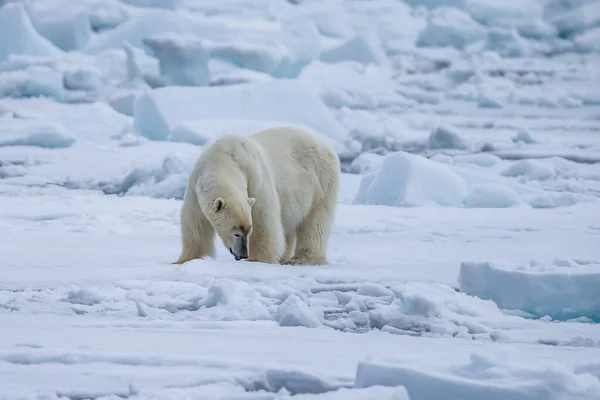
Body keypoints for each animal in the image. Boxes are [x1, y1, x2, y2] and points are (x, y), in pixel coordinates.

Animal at [173, 126, 340, 266]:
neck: (221, 159)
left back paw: (301, 258)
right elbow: (195, 222)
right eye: (236, 233)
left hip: (321, 181)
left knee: (316, 222)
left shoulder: (255, 176)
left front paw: (258, 259)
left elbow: (263, 216)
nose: (243, 254)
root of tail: (327, 146)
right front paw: (185, 260)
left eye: (248, 230)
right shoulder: (195, 185)